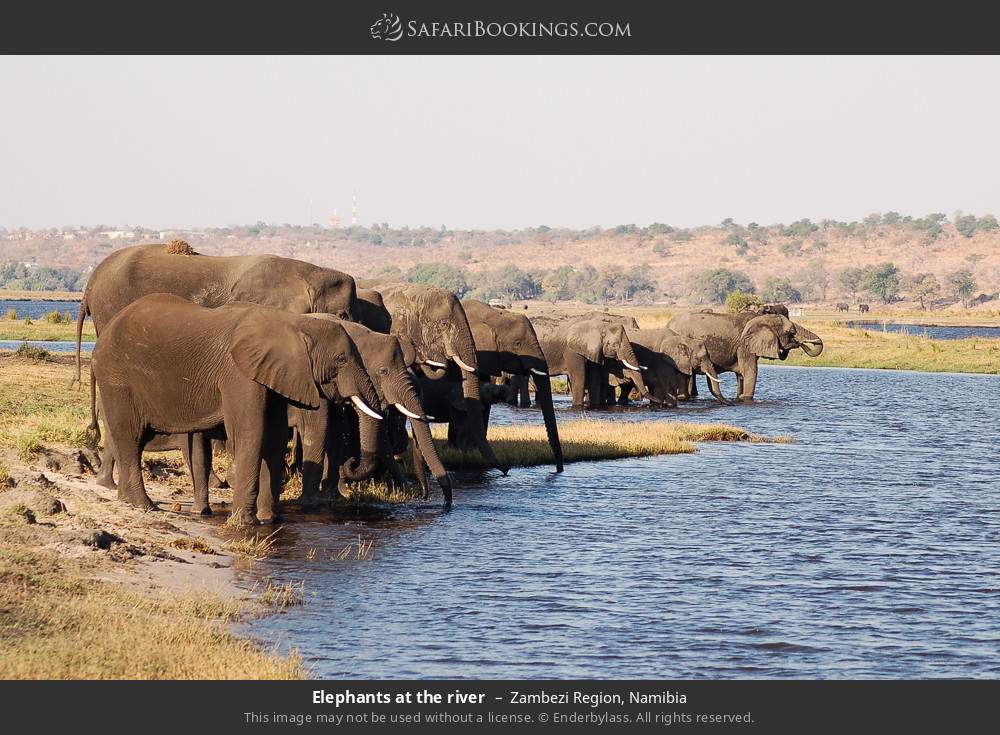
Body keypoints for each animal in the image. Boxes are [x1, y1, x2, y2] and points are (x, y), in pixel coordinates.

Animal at [91, 294, 382, 526]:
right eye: (341, 360)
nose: (350, 462)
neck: (291, 322)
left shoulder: (271, 374)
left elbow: (274, 438)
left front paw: (270, 520)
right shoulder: (238, 374)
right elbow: (250, 433)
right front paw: (245, 523)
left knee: (134, 441)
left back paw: (126, 500)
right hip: (117, 378)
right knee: (130, 437)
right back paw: (143, 505)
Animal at [666, 311, 824, 401]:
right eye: (790, 332)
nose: (801, 343)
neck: (761, 318)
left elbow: (741, 374)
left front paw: (739, 397)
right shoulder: (744, 345)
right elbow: (750, 370)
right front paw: (746, 398)